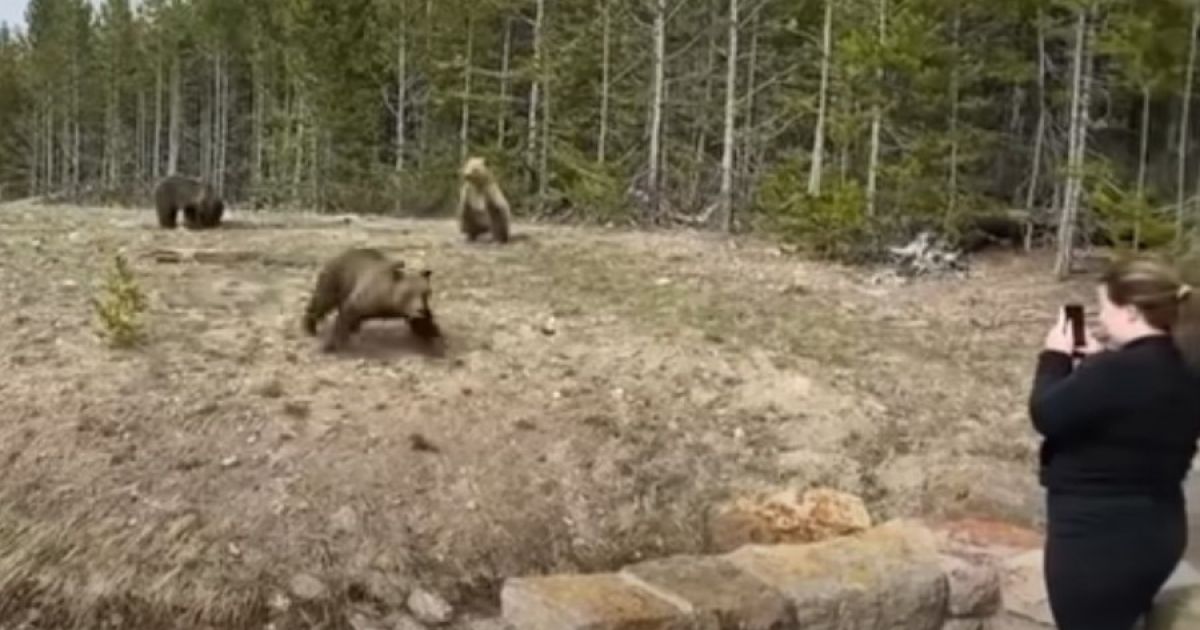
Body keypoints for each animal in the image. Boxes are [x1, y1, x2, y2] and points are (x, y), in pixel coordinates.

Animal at [302, 247, 441, 352]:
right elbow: (346, 313)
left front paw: (433, 335)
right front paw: (331, 345)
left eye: (426, 293)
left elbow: (422, 324)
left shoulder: (409, 310)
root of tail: (341, 254)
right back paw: (310, 327)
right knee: (322, 302)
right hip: (335, 279)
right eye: (408, 293)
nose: (421, 310)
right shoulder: (368, 297)